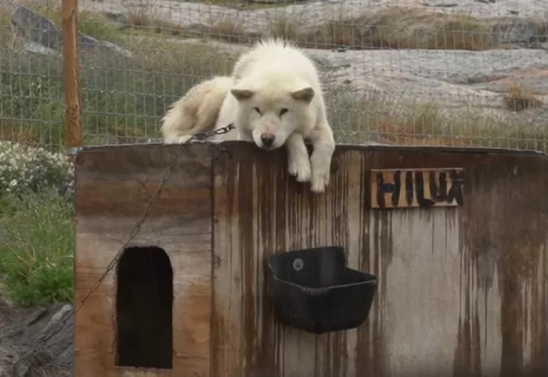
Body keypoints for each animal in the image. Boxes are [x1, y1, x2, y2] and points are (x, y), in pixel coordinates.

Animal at [215, 38, 336, 192]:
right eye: (257, 110)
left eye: (284, 111)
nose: (267, 139)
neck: (277, 69)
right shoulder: (247, 136)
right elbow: (293, 135)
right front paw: (301, 166)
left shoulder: (318, 122)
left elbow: (328, 142)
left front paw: (319, 177)